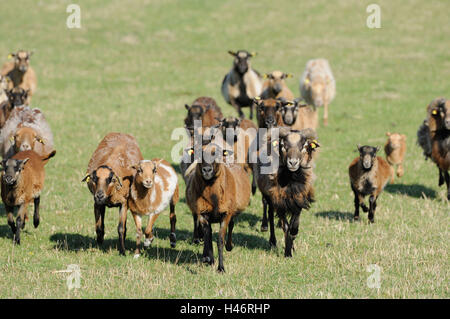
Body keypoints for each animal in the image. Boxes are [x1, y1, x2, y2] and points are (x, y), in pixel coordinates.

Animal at [184, 141, 253, 272]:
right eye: (199, 153)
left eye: (216, 154)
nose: (207, 169)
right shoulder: (203, 213)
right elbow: (208, 236)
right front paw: (208, 258)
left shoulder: (225, 214)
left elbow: (220, 239)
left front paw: (221, 268)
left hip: (232, 210)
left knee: (232, 225)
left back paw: (229, 246)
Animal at [255, 127, 322, 258]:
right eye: (283, 145)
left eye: (304, 146)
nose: (293, 162)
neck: (291, 181)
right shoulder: (279, 201)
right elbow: (286, 227)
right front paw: (287, 253)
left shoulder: (298, 201)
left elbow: (294, 227)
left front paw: (292, 246)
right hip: (269, 196)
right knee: (270, 215)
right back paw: (272, 241)